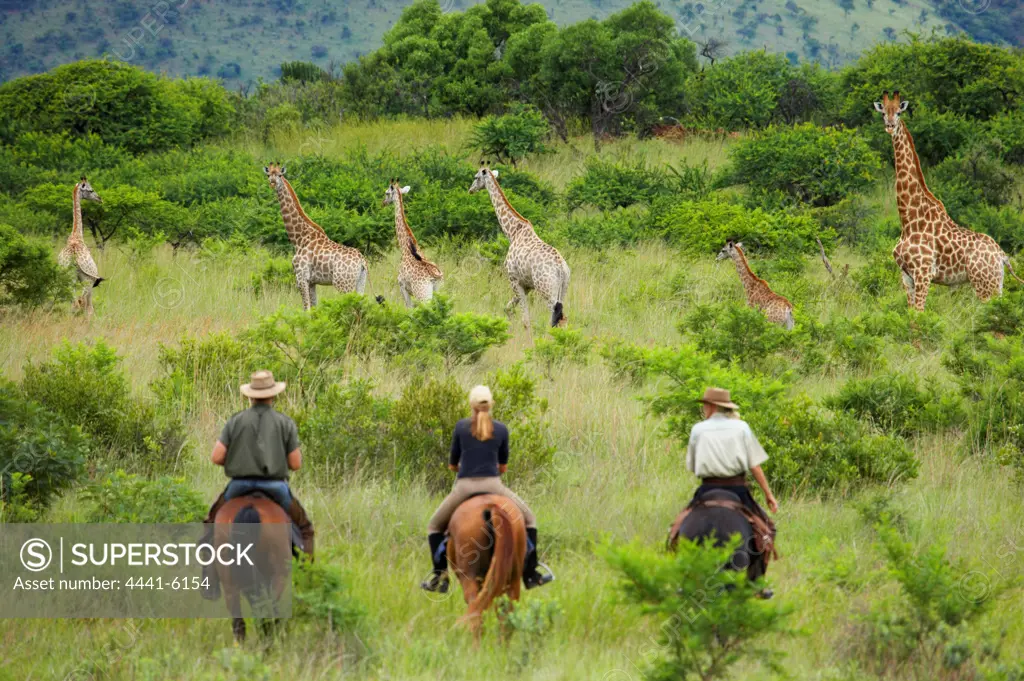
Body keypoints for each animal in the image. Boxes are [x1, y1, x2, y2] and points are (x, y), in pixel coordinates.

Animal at [266, 161, 370, 311]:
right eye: (268, 175)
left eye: (280, 175)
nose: (272, 183)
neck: (298, 238)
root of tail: (362, 261)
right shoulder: (312, 281)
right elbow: (314, 307)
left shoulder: (301, 277)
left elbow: (306, 308)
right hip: (360, 282)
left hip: (343, 284)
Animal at [468, 161, 573, 327]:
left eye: (476, 177)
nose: (470, 190)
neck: (513, 232)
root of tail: (561, 269)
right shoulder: (527, 285)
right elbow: (508, 308)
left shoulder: (514, 280)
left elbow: (525, 319)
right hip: (563, 290)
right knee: (563, 319)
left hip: (547, 290)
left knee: (556, 319)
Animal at [872, 91, 1024, 309]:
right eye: (883, 112)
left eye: (899, 112)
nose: (890, 125)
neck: (908, 219)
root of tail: (1003, 256)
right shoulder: (906, 276)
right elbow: (910, 314)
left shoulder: (923, 273)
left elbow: (920, 313)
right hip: (996, 284)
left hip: (985, 285)